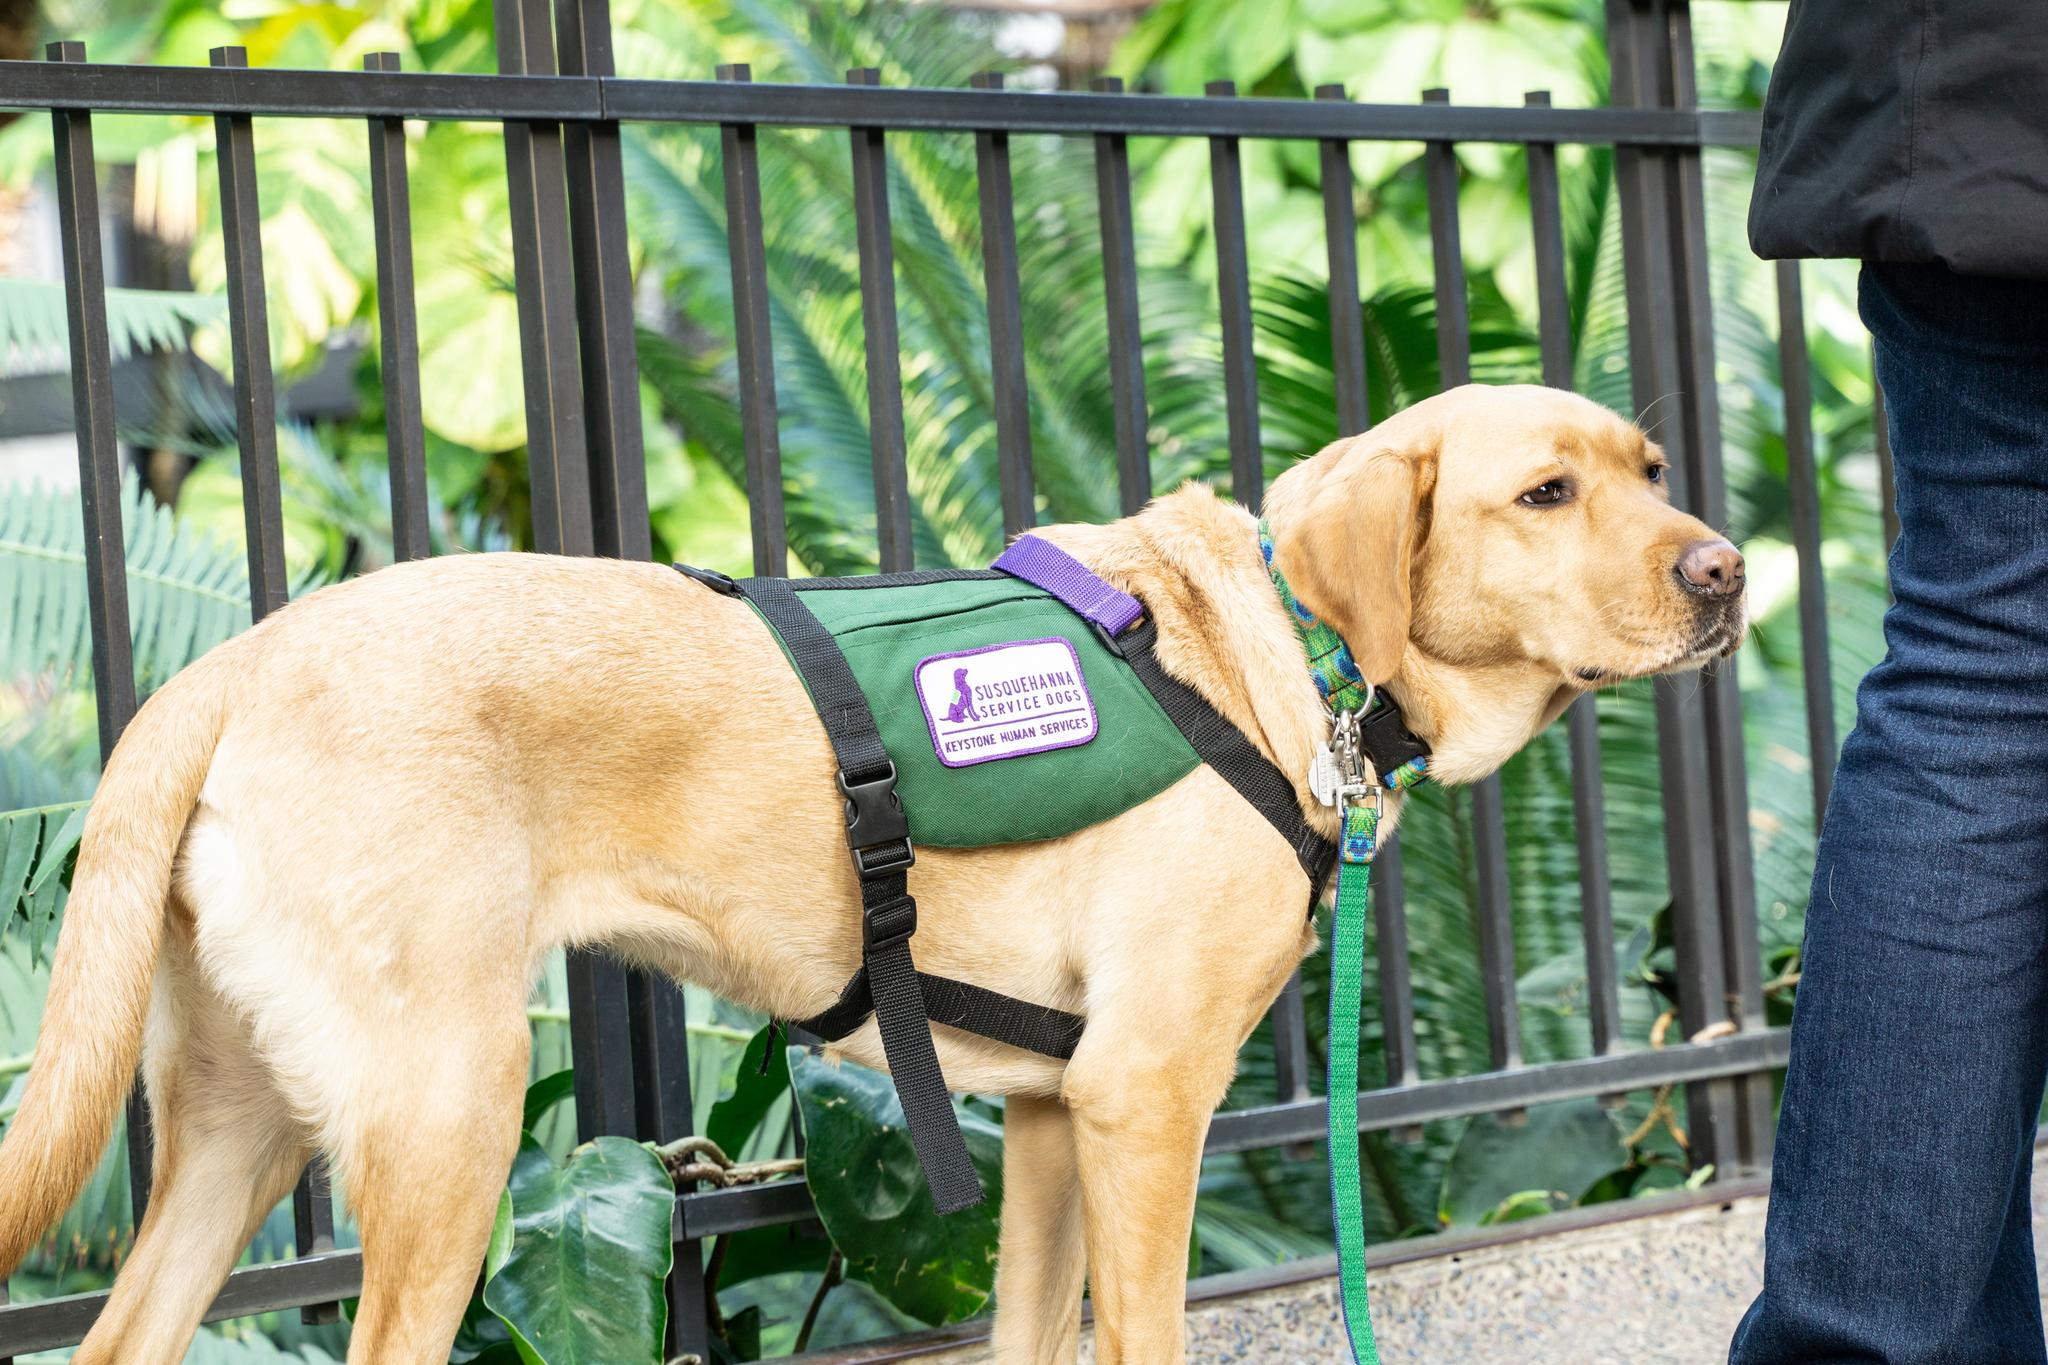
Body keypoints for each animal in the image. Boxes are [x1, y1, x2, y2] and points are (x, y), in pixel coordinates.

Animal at [0, 386, 1744, 1365]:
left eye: (1653, 466)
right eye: (1545, 494)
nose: (1729, 570)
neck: (1279, 655)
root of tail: (226, 667)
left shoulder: (1049, 1122)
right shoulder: (1145, 1101)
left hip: (240, 1131)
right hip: (451, 1126)